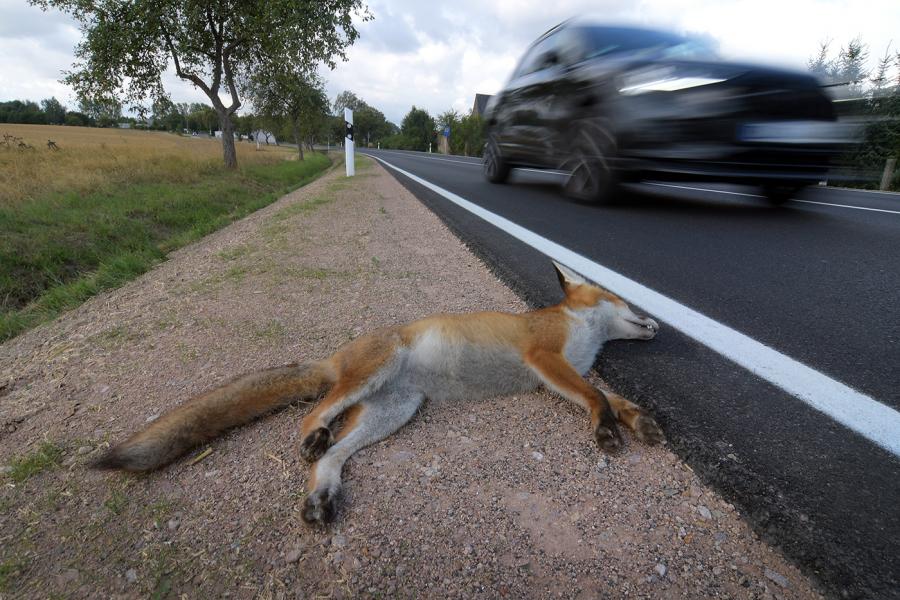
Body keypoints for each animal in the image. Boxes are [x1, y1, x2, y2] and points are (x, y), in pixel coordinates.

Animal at [95, 260, 664, 524]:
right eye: (624, 300)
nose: (656, 324)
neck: (583, 334)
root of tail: (338, 355)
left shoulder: (566, 371)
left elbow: (614, 399)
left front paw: (638, 422)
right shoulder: (546, 359)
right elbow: (599, 399)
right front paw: (607, 430)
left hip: (394, 412)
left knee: (332, 457)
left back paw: (321, 496)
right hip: (377, 374)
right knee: (310, 419)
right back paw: (311, 438)